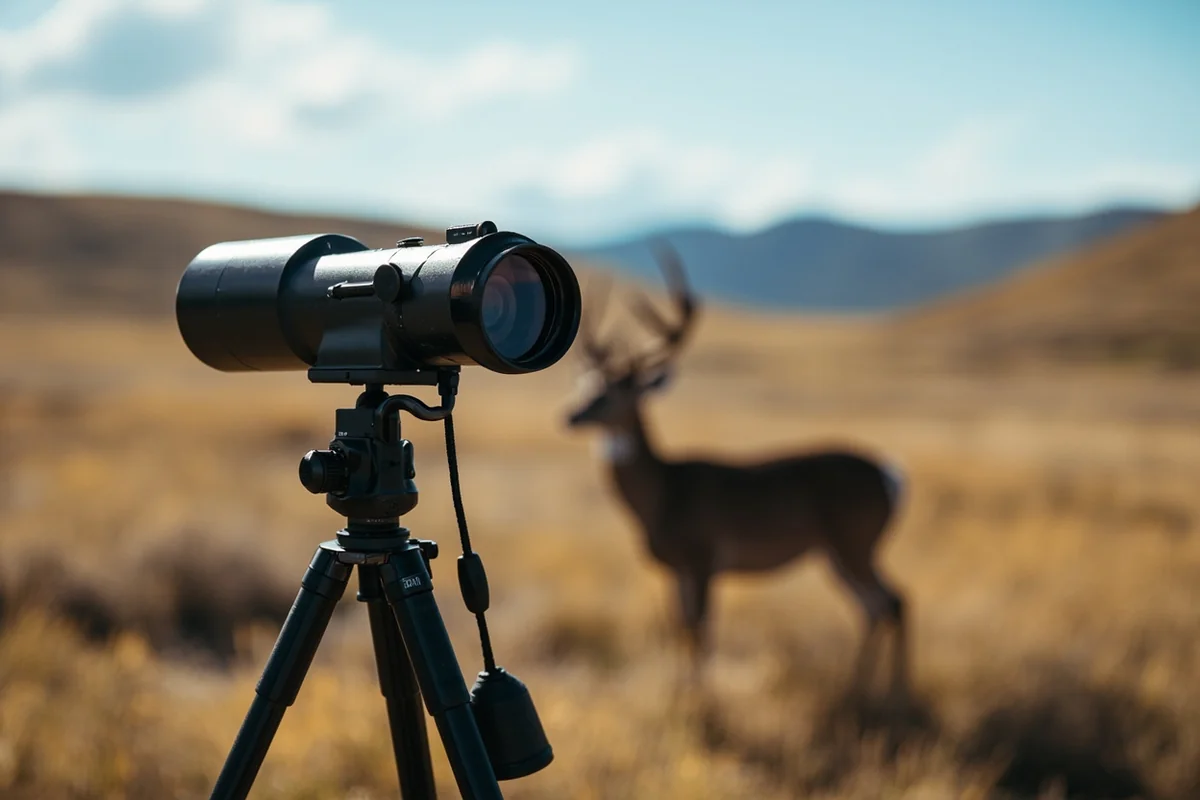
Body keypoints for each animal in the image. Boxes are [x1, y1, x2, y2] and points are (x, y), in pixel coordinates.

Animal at [564, 245, 910, 697]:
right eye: (588, 386)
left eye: (619, 393)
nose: (571, 415)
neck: (663, 495)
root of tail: (892, 477)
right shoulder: (675, 568)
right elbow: (683, 629)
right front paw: (680, 690)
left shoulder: (704, 556)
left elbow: (702, 631)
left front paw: (700, 697)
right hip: (837, 550)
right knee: (875, 608)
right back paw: (860, 686)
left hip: (856, 540)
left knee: (893, 602)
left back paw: (894, 692)